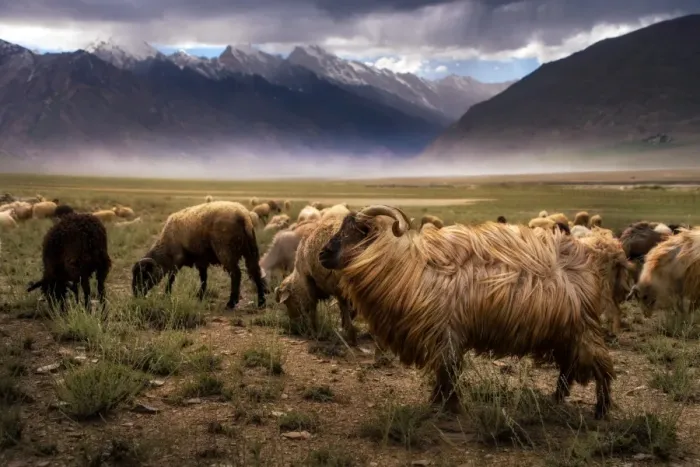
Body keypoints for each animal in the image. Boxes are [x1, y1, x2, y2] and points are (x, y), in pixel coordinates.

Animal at [131, 201, 267, 309]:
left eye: (144, 275)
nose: (136, 294)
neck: (165, 247)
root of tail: (244, 216)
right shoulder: (201, 260)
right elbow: (203, 279)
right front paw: (200, 296)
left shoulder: (177, 260)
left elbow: (171, 279)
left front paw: (166, 295)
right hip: (250, 251)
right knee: (255, 271)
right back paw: (261, 302)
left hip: (225, 251)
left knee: (236, 274)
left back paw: (231, 303)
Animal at [319, 205, 614, 419]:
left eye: (357, 231)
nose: (322, 254)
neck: (410, 268)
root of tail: (587, 257)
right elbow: (445, 373)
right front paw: (440, 404)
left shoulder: (446, 334)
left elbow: (447, 372)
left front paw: (447, 408)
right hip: (563, 332)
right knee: (567, 368)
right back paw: (556, 400)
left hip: (582, 328)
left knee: (601, 366)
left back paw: (601, 410)